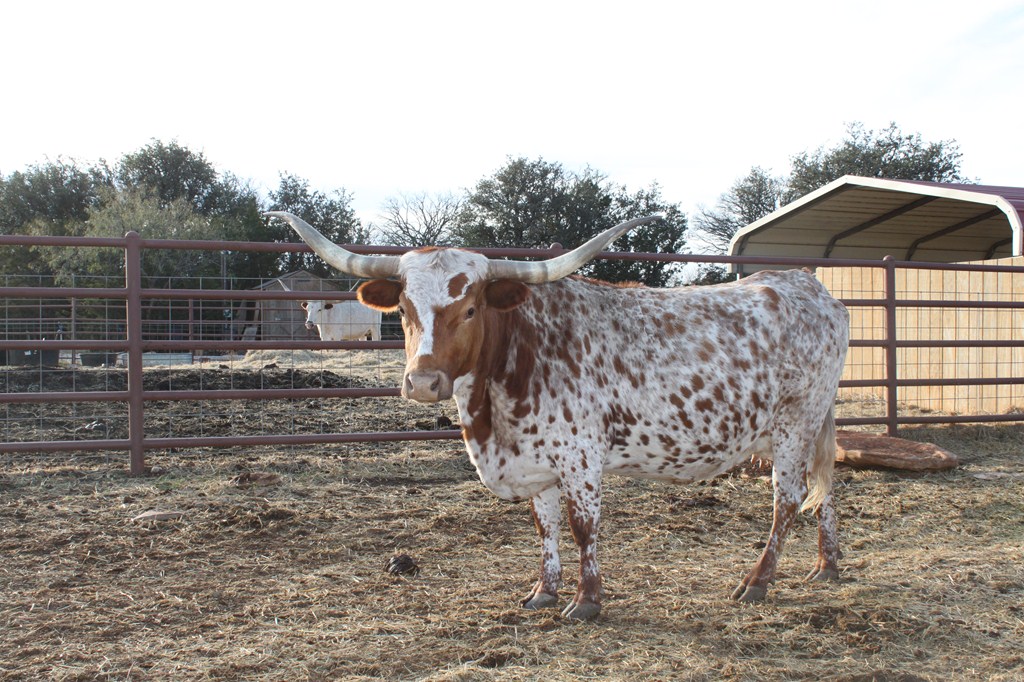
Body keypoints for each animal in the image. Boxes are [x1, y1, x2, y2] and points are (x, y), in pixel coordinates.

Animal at [268, 211, 849, 620]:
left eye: (471, 308)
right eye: (405, 312)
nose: (423, 383)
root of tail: (812, 286)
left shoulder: (579, 457)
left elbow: (581, 525)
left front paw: (587, 600)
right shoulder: (535, 461)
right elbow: (543, 524)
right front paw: (543, 592)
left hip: (794, 425)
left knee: (788, 499)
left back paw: (757, 581)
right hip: (815, 424)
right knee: (828, 486)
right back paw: (827, 565)